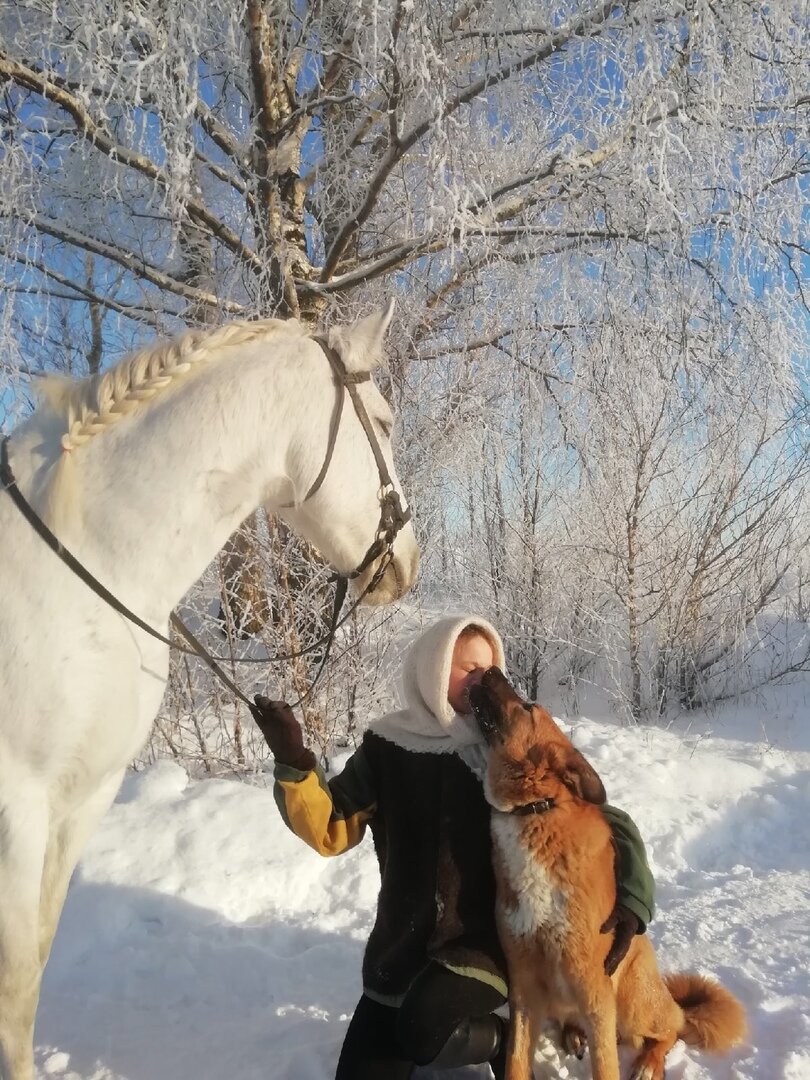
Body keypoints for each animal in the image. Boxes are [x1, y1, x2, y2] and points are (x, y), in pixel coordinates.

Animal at [0, 306, 419, 1080]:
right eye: (383, 418)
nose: (405, 562)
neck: (87, 557)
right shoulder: (20, 804)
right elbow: (15, 986)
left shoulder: (81, 798)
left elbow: (34, 965)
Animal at [468, 665, 747, 1080]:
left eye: (528, 707)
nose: (487, 669)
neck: (536, 810)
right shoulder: (524, 988)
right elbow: (516, 1061)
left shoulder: (595, 991)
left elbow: (606, 1066)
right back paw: (573, 1036)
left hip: (631, 1002)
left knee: (672, 1029)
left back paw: (648, 1063)